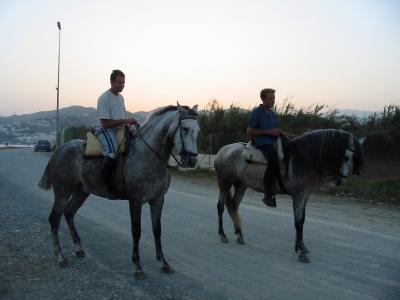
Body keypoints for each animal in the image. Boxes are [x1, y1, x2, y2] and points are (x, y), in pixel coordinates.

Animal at [38, 103, 199, 278]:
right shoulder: (135, 200)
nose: (191, 160)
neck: (148, 155)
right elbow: (136, 231)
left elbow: (157, 230)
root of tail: (59, 150)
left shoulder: (158, 199)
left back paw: (79, 249)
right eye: (185, 129)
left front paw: (163, 263)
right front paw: (137, 266)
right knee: (54, 219)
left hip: (82, 192)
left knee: (69, 213)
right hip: (63, 192)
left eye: (198, 129)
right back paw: (60, 257)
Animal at [216, 129, 366, 262]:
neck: (304, 160)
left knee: (234, 207)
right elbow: (298, 222)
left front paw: (301, 246)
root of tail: (223, 150)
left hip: (241, 185)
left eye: (354, 159)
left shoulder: (304, 196)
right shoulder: (298, 196)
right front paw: (301, 252)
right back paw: (223, 235)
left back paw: (239, 234)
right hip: (224, 183)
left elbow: (302, 220)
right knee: (221, 206)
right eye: (346, 157)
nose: (339, 181)